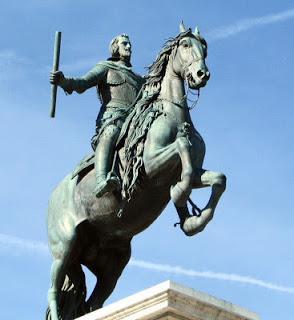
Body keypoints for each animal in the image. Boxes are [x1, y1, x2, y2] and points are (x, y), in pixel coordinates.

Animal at [46, 24, 226, 320]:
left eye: (205, 48)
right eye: (185, 45)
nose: (202, 74)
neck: (170, 114)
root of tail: (53, 196)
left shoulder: (195, 170)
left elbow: (217, 179)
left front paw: (194, 220)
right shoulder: (151, 167)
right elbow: (183, 153)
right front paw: (180, 196)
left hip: (111, 261)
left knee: (92, 303)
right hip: (65, 246)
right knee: (55, 283)